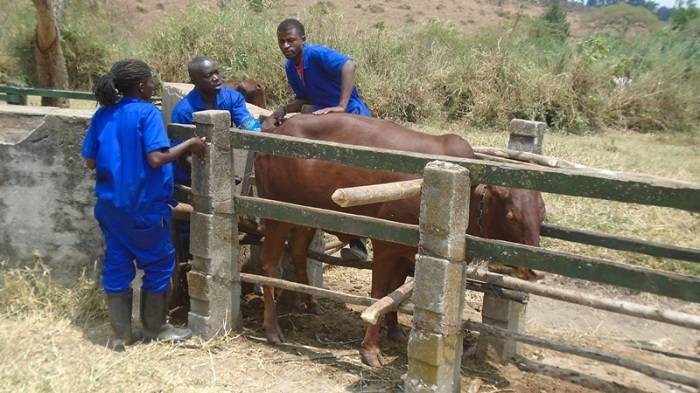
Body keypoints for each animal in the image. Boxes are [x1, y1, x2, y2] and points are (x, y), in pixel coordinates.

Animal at [254, 112, 544, 366]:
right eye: (511, 215)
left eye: (541, 214)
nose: (535, 271)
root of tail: (276, 130)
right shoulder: (386, 248)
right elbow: (379, 294)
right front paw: (371, 350)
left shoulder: (408, 253)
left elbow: (396, 292)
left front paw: (394, 330)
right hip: (276, 215)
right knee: (267, 263)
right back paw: (272, 328)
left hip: (305, 216)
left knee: (298, 252)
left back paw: (311, 303)